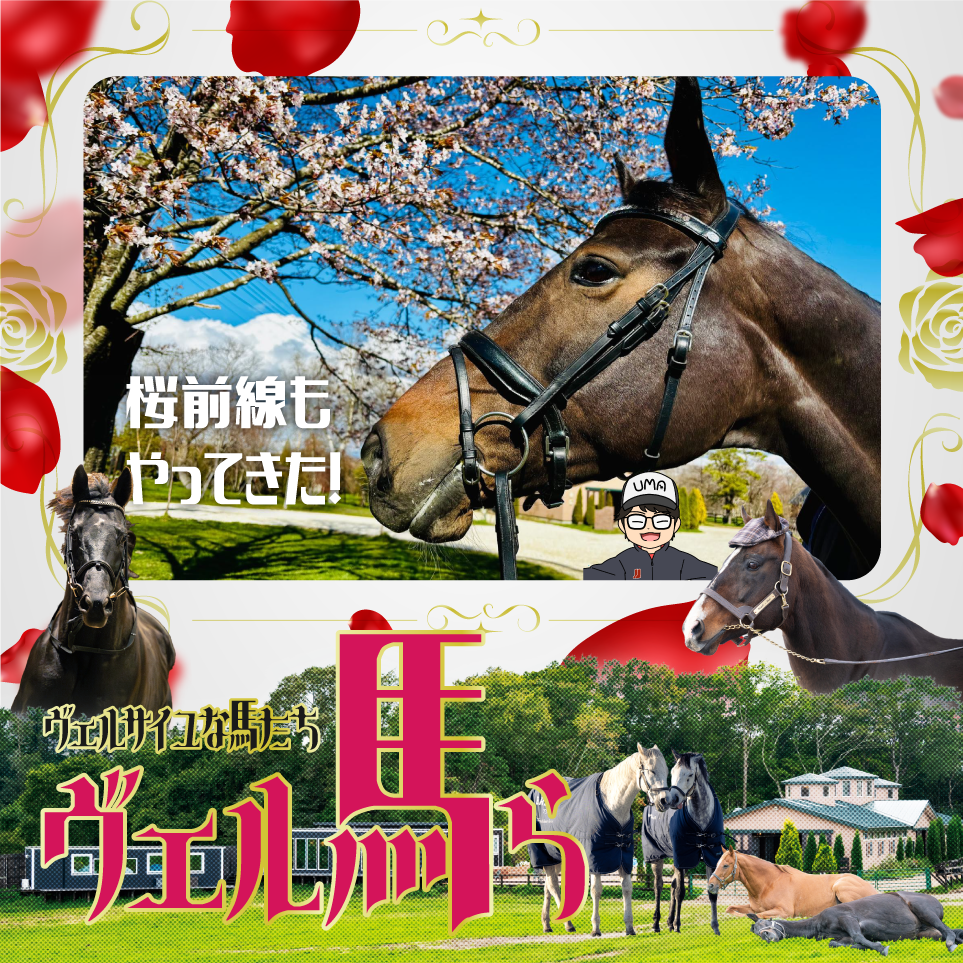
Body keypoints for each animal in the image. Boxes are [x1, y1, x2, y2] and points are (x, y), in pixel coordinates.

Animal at [529, 744, 673, 937]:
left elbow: (627, 888)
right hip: (544, 854)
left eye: (666, 771)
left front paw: (629, 927)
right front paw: (595, 928)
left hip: (556, 858)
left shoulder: (624, 856)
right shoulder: (595, 858)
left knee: (547, 886)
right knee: (553, 885)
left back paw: (547, 924)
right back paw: (568, 923)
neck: (613, 804)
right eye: (651, 770)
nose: (664, 801)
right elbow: (596, 890)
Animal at [640, 750, 725, 935]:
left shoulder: (709, 857)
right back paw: (657, 923)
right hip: (657, 857)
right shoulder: (682, 856)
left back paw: (669, 922)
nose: (672, 799)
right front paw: (678, 925)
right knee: (658, 886)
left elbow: (711, 891)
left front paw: (715, 927)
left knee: (671, 885)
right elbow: (680, 892)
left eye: (690, 775)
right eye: (672, 772)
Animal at [708, 846, 877, 919]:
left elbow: (757, 915)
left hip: (840, 887)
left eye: (725, 865)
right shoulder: (752, 906)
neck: (768, 884)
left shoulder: (784, 911)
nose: (711, 885)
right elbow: (731, 909)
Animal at [748, 892, 963, 955]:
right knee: (951, 932)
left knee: (948, 932)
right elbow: (835, 943)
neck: (818, 923)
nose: (767, 936)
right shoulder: (842, 937)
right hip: (926, 933)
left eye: (766, 922)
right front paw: (867, 946)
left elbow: (859, 936)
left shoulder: (848, 918)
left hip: (923, 910)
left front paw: (881, 948)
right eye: (756, 932)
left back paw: (951, 944)